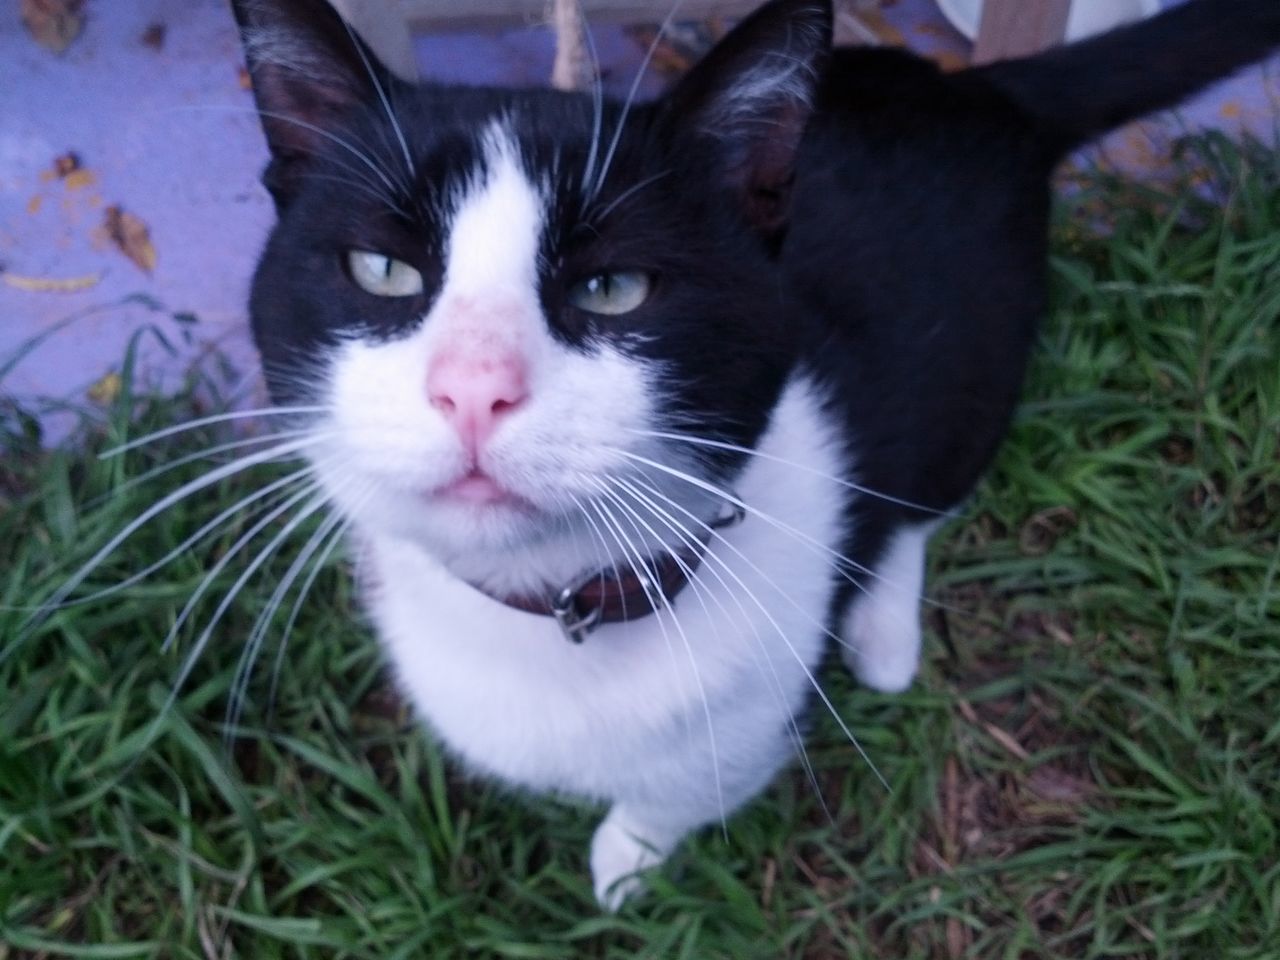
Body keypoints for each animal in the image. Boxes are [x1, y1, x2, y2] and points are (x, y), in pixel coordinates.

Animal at [230, 0, 1280, 911]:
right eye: (381, 270)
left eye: (613, 288)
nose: (473, 388)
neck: (557, 607)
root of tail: (979, 92)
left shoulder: (745, 709)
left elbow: (684, 790)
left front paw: (628, 860)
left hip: (981, 359)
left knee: (927, 492)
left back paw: (884, 631)